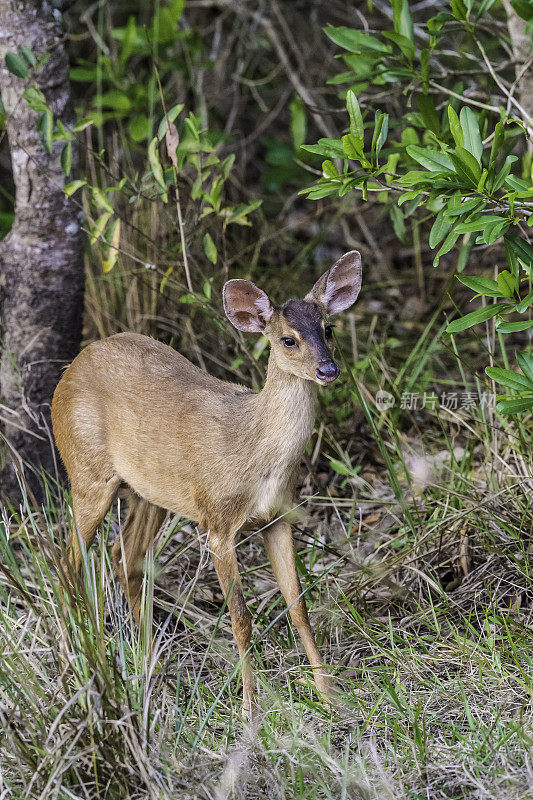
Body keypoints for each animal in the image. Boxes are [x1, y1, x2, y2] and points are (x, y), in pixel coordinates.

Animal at [53, 248, 362, 712]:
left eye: (328, 328)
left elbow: (298, 607)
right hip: (87, 471)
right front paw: (251, 709)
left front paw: (331, 696)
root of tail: (70, 369)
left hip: (150, 492)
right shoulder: (218, 523)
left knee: (126, 558)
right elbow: (240, 618)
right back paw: (79, 665)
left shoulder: (277, 518)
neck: (256, 457)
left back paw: (152, 670)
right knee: (68, 561)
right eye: (288, 339)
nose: (328, 369)